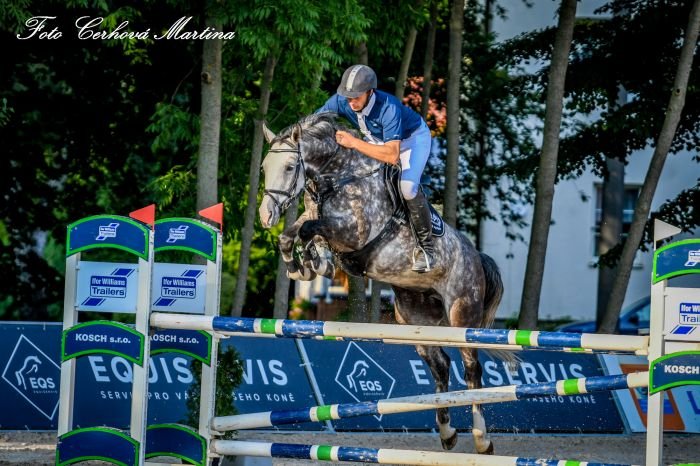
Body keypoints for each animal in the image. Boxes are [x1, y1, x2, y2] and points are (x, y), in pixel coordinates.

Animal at [258, 113, 506, 455]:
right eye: (263, 168)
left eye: (289, 167)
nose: (265, 215)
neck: (339, 178)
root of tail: (476, 256)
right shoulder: (316, 219)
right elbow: (293, 233)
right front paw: (304, 267)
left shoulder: (352, 233)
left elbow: (310, 230)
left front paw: (314, 262)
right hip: (415, 317)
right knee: (440, 365)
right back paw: (447, 433)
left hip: (461, 313)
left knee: (471, 368)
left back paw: (482, 440)